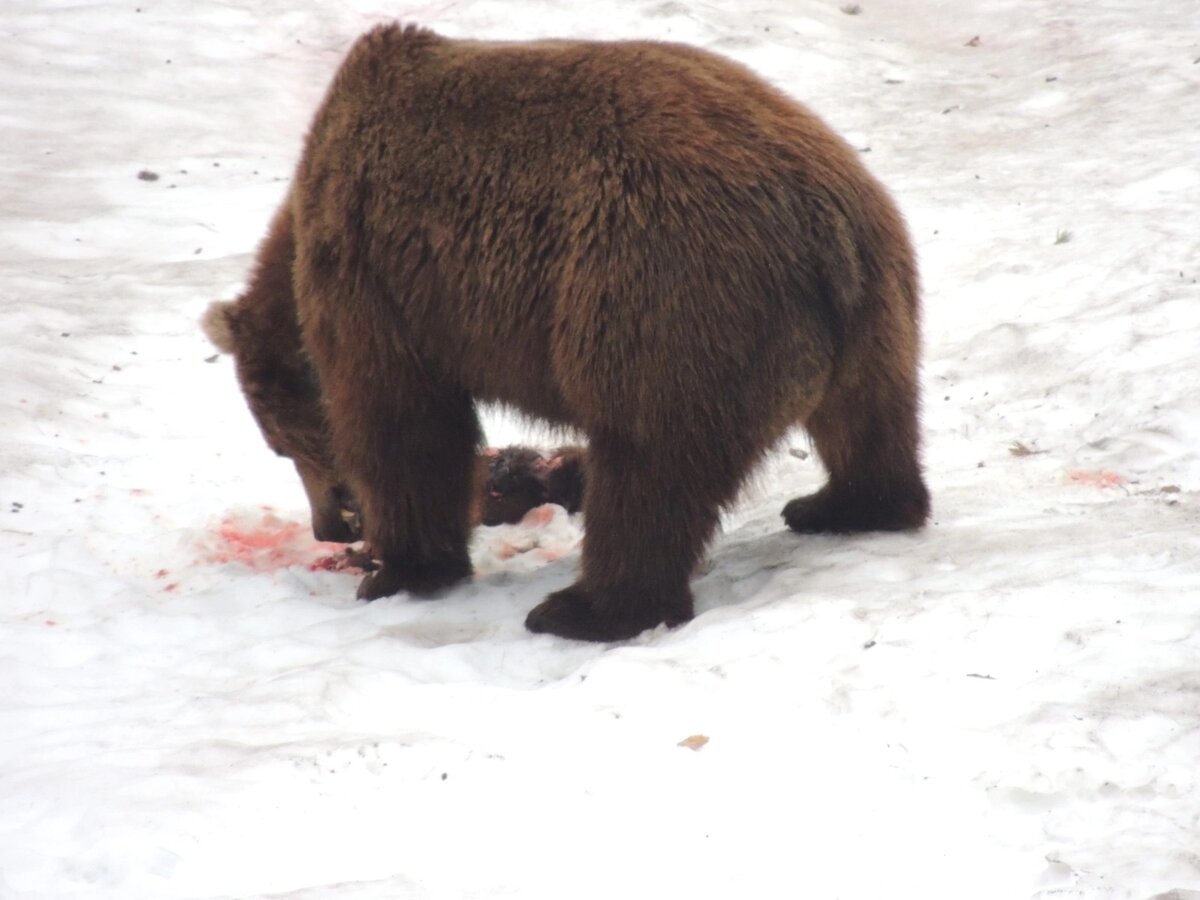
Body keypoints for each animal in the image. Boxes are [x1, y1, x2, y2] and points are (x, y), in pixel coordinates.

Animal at [204, 24, 926, 643]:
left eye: (281, 447)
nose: (328, 527)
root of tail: (819, 219)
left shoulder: (377, 279)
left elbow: (405, 425)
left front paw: (397, 569)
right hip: (878, 294)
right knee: (869, 417)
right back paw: (845, 505)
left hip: (664, 294)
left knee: (648, 464)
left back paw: (583, 609)